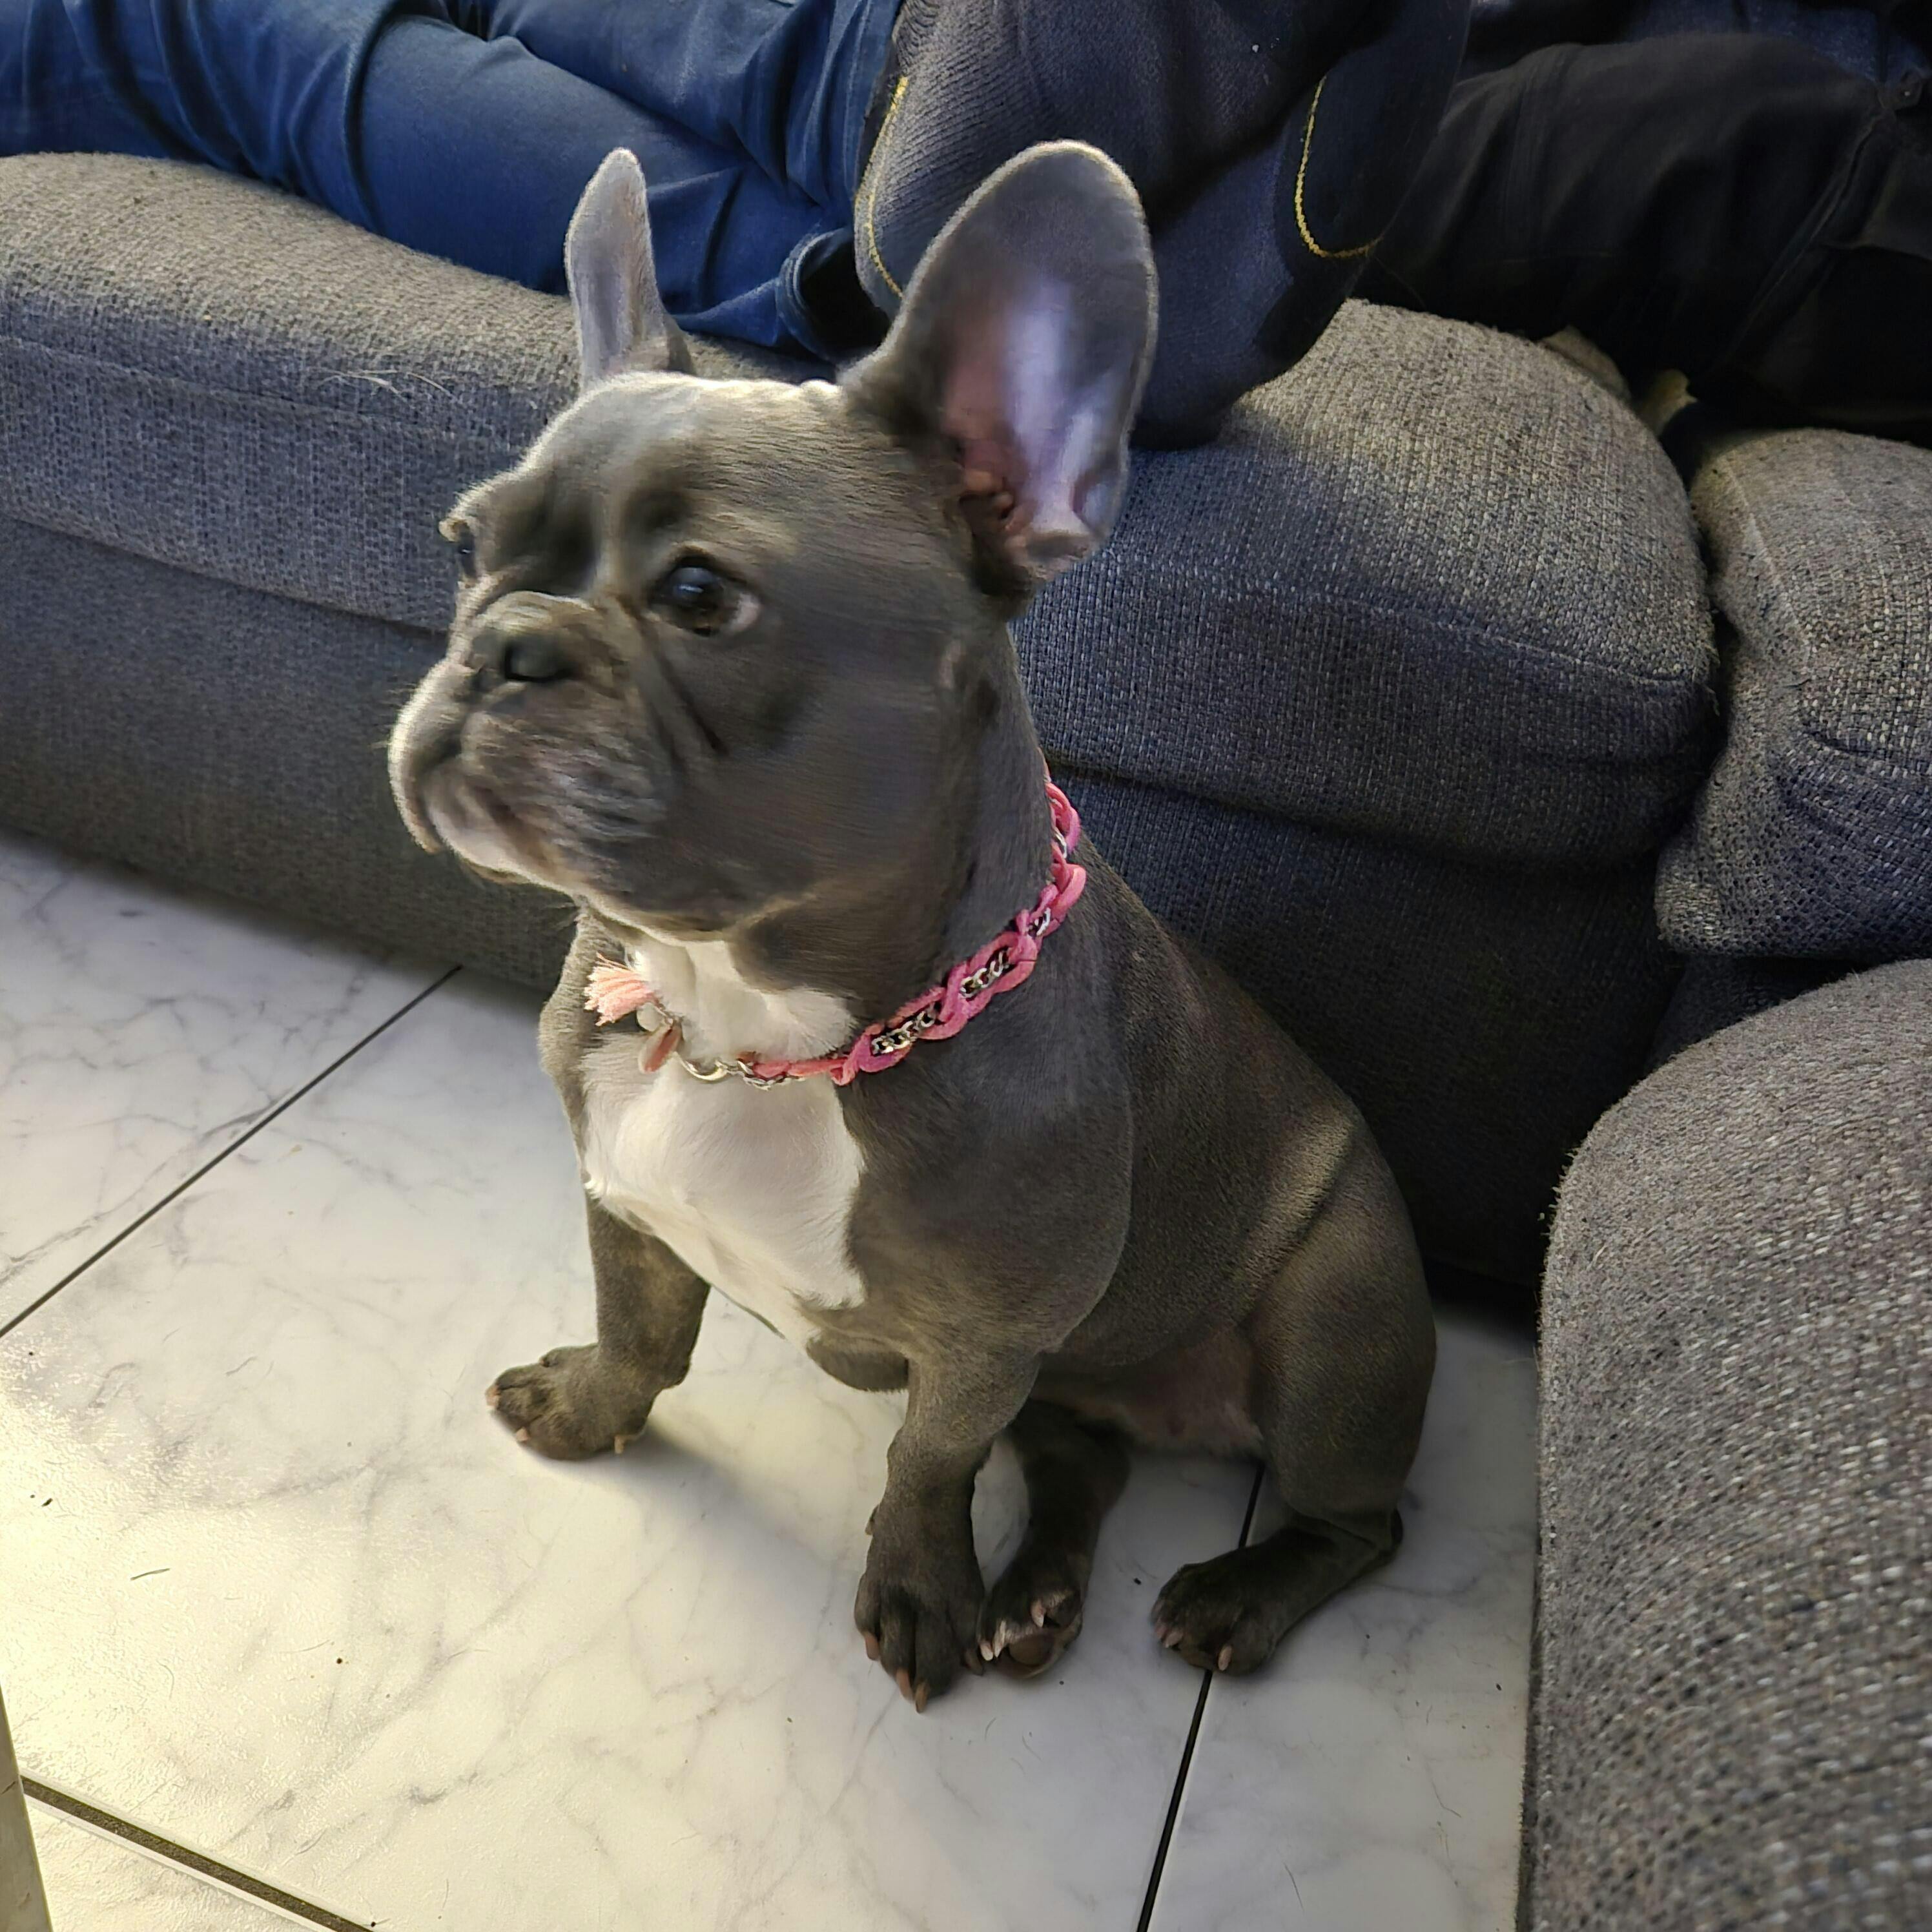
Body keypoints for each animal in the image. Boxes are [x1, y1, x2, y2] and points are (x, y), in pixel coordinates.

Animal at [388, 141, 1435, 1708]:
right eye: (466, 546)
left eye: (700, 596)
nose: (504, 642)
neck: (754, 1028)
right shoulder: (626, 1204)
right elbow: (646, 1335)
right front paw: (587, 1407)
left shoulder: (982, 1344)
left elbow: (925, 1462)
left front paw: (916, 1590)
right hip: (1079, 1380)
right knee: (1083, 1461)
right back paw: (1037, 1595)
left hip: (1335, 1322)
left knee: (1354, 1519)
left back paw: (1229, 1598)